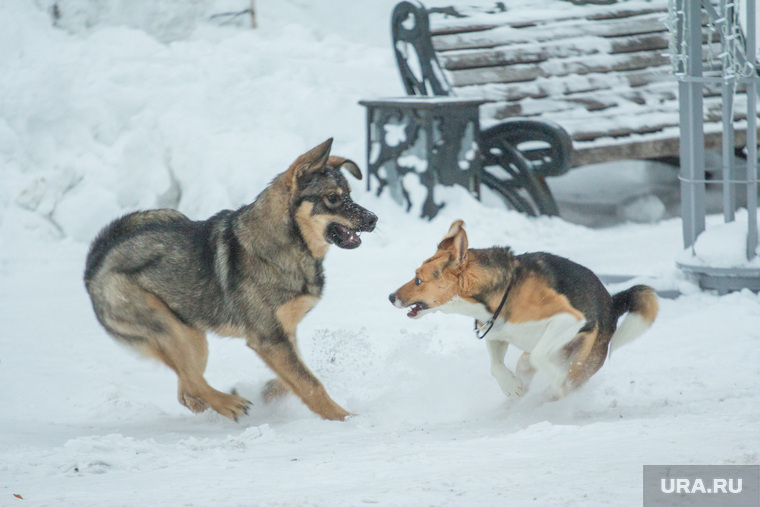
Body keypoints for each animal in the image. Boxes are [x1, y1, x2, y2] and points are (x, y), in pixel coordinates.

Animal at [85, 139, 378, 420]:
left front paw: (269, 391)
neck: (288, 244)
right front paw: (346, 418)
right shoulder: (269, 338)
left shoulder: (283, 334)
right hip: (168, 328)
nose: (374, 219)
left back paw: (218, 403)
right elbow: (311, 383)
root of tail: (97, 258)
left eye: (350, 194)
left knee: (186, 388)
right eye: (332, 198)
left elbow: (296, 376)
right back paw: (230, 405)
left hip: (192, 338)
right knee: (192, 382)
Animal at [388, 221, 656, 400]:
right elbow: (496, 366)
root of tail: (612, 302)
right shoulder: (495, 333)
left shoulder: (568, 318)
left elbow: (540, 355)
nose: (391, 297)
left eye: (418, 280)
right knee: (526, 363)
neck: (503, 290)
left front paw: (556, 381)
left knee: (557, 371)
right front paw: (512, 387)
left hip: (583, 356)